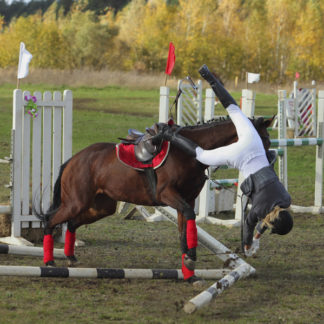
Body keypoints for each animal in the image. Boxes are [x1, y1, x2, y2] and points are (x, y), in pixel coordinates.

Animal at [36, 116, 274, 280]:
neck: (190, 152)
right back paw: (49, 260)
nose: (269, 161)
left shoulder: (185, 200)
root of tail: (73, 160)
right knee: (51, 220)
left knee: (72, 223)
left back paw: (70, 256)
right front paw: (190, 259)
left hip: (101, 207)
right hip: (76, 203)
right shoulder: (167, 195)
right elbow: (189, 219)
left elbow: (184, 229)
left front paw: (188, 268)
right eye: (262, 139)